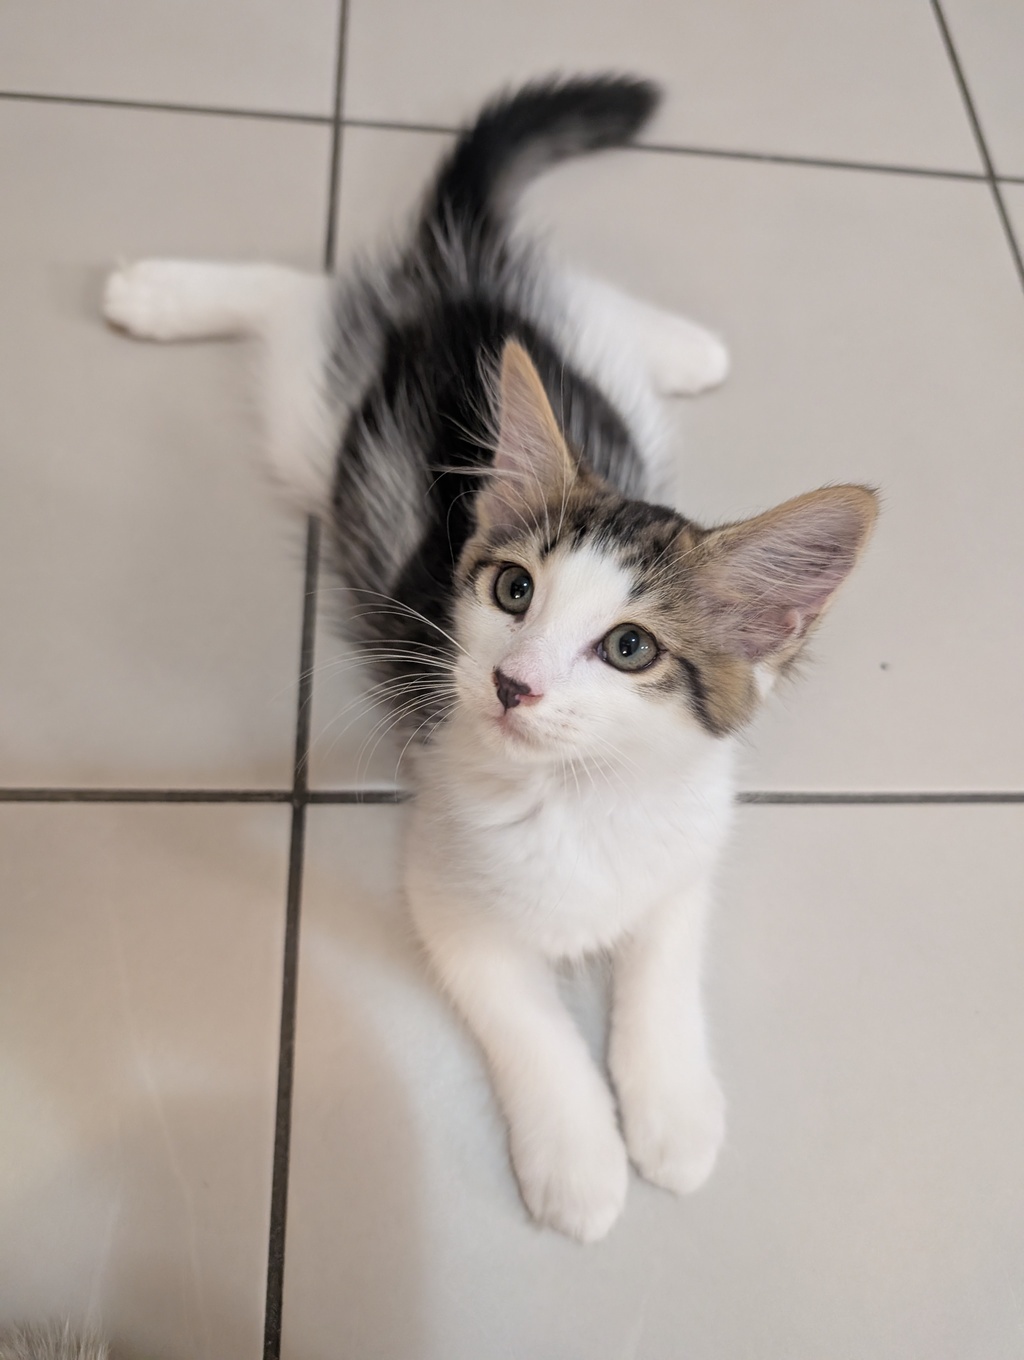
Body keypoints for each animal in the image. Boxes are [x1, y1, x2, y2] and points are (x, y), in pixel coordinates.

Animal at [103, 75, 877, 1242]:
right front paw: (580, 1160)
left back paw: (691, 347)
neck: (581, 798)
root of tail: (458, 289)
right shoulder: (449, 891)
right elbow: (528, 1020)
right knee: (301, 297)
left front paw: (673, 1111)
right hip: (314, 423)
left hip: (583, 383)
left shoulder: (688, 849)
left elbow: (662, 964)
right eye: (512, 591)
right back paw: (155, 292)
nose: (514, 683)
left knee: (562, 299)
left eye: (629, 647)